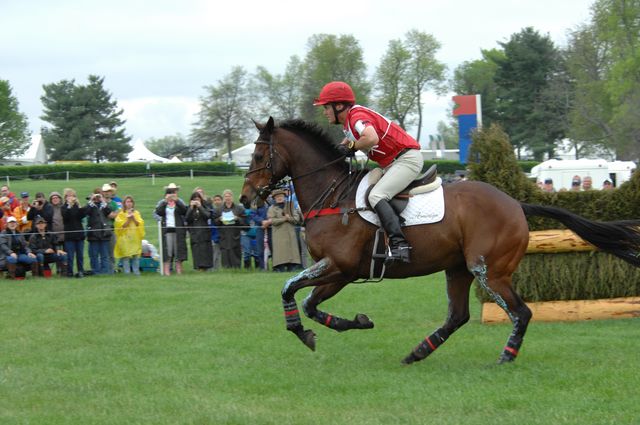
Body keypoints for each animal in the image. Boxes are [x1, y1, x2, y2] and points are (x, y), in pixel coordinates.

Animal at [239, 117, 640, 364]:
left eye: (258, 155)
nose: (245, 199)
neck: (331, 195)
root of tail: (516, 204)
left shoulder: (338, 266)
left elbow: (289, 289)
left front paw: (299, 331)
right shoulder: (341, 272)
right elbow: (310, 303)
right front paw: (355, 322)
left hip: (487, 270)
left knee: (520, 312)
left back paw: (505, 357)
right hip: (457, 268)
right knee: (457, 316)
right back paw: (417, 353)